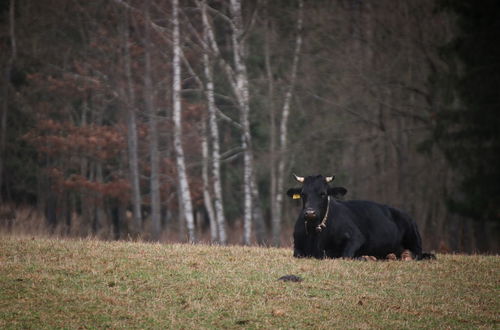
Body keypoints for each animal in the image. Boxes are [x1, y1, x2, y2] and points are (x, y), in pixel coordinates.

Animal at [288, 174, 436, 260]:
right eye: (303, 194)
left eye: (323, 193)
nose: (310, 213)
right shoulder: (297, 246)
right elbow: (298, 254)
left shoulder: (356, 237)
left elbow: (345, 256)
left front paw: (365, 257)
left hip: (414, 235)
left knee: (421, 254)